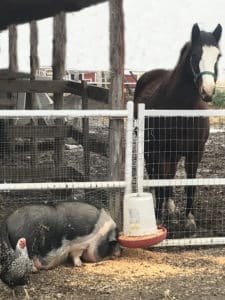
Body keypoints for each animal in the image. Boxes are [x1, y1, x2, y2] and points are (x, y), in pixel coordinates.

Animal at [134, 24, 222, 232]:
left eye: (218, 56)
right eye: (194, 55)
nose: (208, 92)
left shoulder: (195, 153)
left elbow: (190, 185)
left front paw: (189, 219)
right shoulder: (159, 151)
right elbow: (159, 182)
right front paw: (158, 218)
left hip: (173, 154)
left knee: (170, 175)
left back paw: (170, 206)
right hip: (151, 149)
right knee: (156, 176)